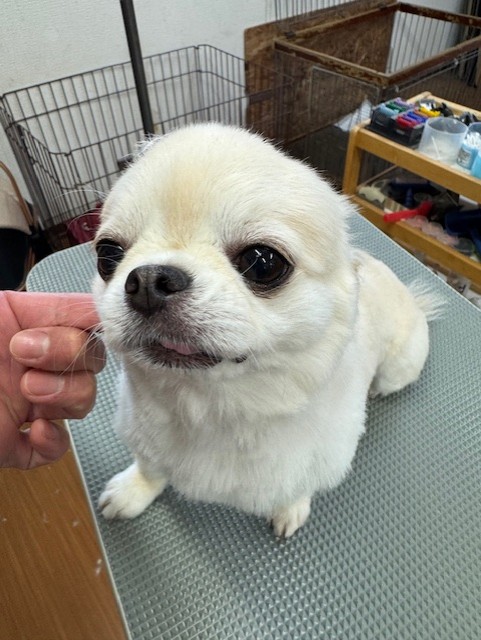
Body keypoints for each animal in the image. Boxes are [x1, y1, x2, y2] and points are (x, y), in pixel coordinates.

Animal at [93, 123, 437, 537]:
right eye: (107, 255)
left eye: (263, 262)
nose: (148, 280)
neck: (208, 409)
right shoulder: (145, 438)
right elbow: (150, 467)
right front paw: (134, 490)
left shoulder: (312, 461)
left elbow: (297, 486)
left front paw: (290, 508)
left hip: (397, 369)